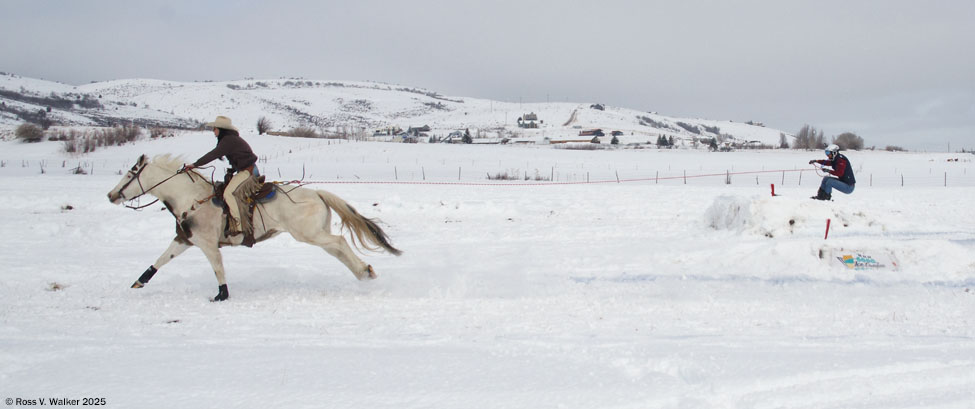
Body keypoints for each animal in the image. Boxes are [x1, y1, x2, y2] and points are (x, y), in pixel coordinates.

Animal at [107, 154, 402, 301]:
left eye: (131, 173)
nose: (111, 195)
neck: (191, 198)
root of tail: (317, 193)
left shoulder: (207, 244)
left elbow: (217, 268)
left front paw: (222, 295)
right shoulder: (185, 239)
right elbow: (160, 260)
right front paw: (138, 282)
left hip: (309, 234)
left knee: (340, 243)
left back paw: (365, 271)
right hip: (316, 234)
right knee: (337, 250)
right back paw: (364, 273)